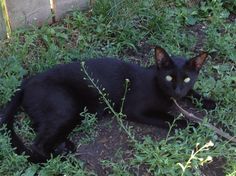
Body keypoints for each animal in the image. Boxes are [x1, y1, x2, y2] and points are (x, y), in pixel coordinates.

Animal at [0, 46, 216, 163]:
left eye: (187, 79)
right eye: (169, 77)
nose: (178, 90)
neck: (159, 86)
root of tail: (26, 82)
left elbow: (191, 95)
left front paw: (208, 101)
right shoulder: (136, 110)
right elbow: (170, 118)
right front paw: (194, 124)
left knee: (39, 128)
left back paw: (66, 147)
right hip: (67, 107)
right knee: (37, 145)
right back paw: (64, 160)